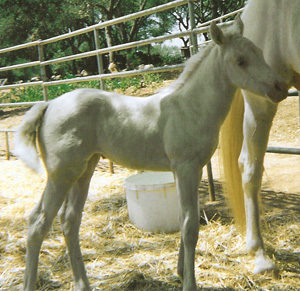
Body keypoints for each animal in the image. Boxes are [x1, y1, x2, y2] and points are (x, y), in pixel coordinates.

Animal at [15, 16, 288, 291]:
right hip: (61, 174)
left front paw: (180, 272)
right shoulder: (186, 168)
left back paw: (83, 283)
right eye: (240, 61)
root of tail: (48, 104)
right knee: (38, 222)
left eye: (260, 53)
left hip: (83, 170)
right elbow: (190, 226)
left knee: (69, 221)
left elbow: (183, 218)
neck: (192, 106)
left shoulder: (191, 170)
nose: (280, 87)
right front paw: (189, 283)